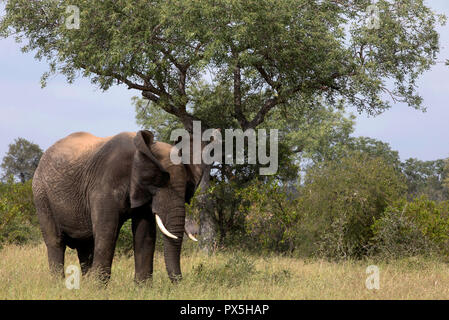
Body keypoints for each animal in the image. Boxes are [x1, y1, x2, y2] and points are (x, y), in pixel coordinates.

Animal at [33, 130, 203, 282]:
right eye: (158, 182)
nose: (179, 284)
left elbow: (144, 234)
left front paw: (143, 288)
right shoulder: (104, 185)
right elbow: (107, 231)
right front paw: (97, 288)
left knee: (85, 245)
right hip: (41, 196)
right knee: (56, 242)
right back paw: (59, 284)